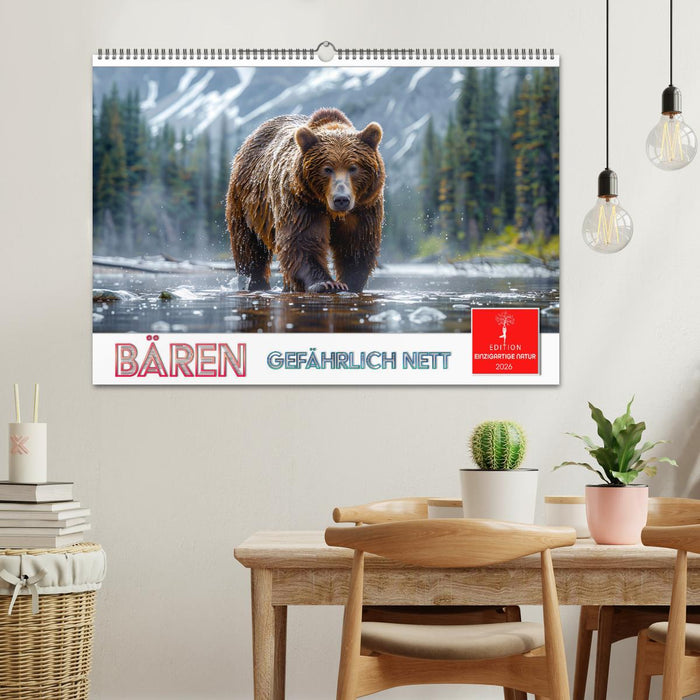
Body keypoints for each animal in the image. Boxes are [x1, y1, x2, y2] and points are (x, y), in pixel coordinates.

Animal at [226, 108, 384, 293]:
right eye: (327, 169)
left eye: (353, 168)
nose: (341, 199)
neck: (328, 208)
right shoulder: (301, 202)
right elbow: (301, 240)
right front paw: (327, 283)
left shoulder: (363, 207)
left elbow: (356, 244)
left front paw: (349, 283)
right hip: (246, 202)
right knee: (249, 247)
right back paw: (255, 283)